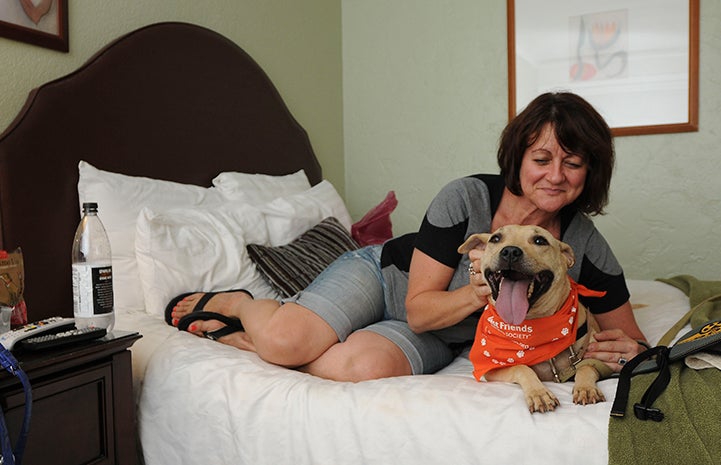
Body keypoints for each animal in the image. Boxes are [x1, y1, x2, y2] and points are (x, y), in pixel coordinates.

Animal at [458, 225, 612, 414]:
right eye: (495, 239)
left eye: (540, 241)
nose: (510, 251)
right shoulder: (492, 369)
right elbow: (521, 367)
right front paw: (539, 393)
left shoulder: (598, 358)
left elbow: (586, 367)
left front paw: (586, 388)